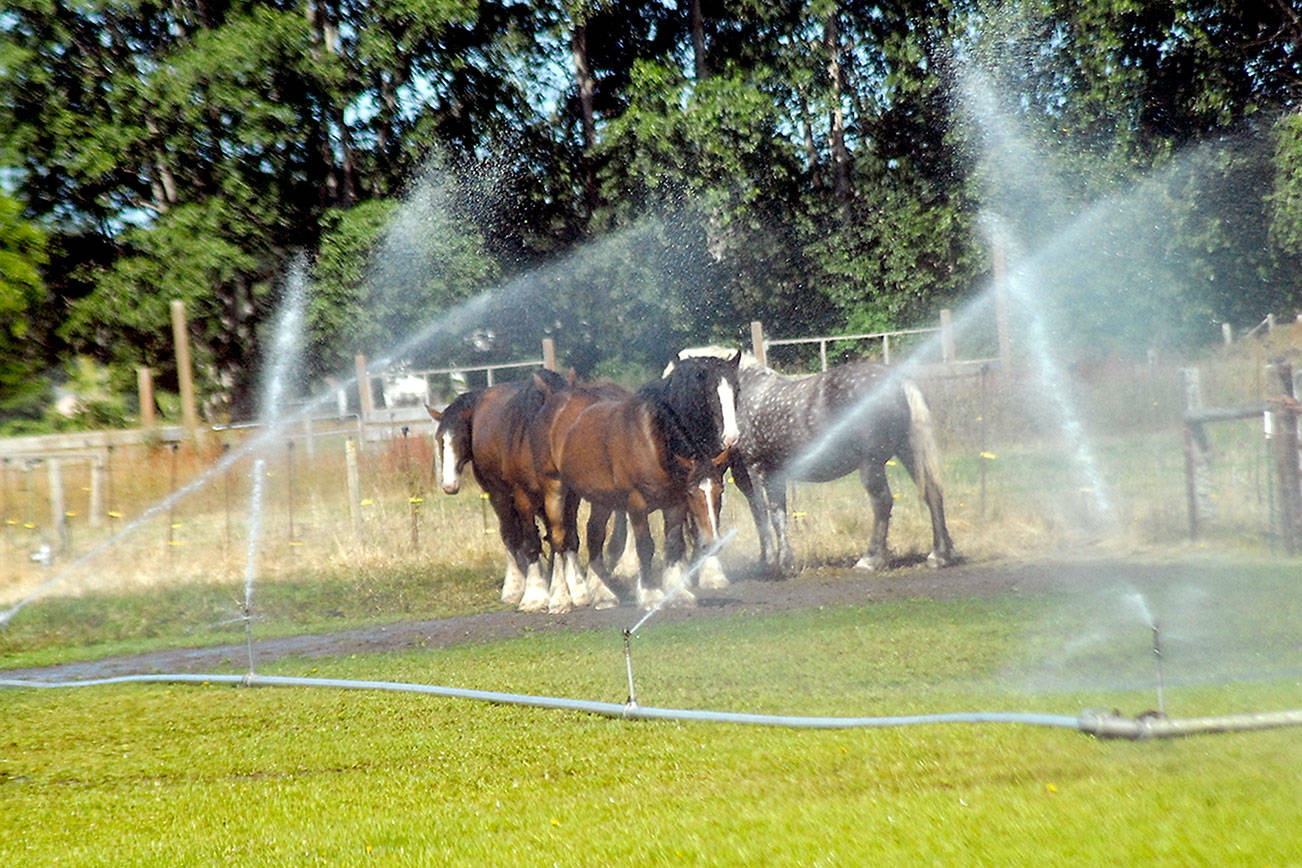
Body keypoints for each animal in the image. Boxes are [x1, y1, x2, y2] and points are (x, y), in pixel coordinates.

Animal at [536, 353, 741, 608]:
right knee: (558, 538)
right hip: (556, 489)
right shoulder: (637, 504)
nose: (732, 438)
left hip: (599, 496)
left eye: (737, 390)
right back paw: (560, 598)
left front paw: (678, 594)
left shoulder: (675, 505)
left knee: (594, 534)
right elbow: (645, 546)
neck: (653, 440)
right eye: (712, 393)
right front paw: (650, 594)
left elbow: (673, 544)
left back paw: (602, 593)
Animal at [671, 349, 956, 574]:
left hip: (871, 464)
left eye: (734, 390)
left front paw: (769, 561)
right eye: (708, 392)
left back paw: (871, 559)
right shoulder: (773, 475)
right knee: (932, 493)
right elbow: (778, 514)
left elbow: (762, 514)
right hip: (908, 451)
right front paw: (784, 561)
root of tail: (897, 381)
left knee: (883, 502)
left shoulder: (751, 471)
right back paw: (939, 554)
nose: (731, 437)